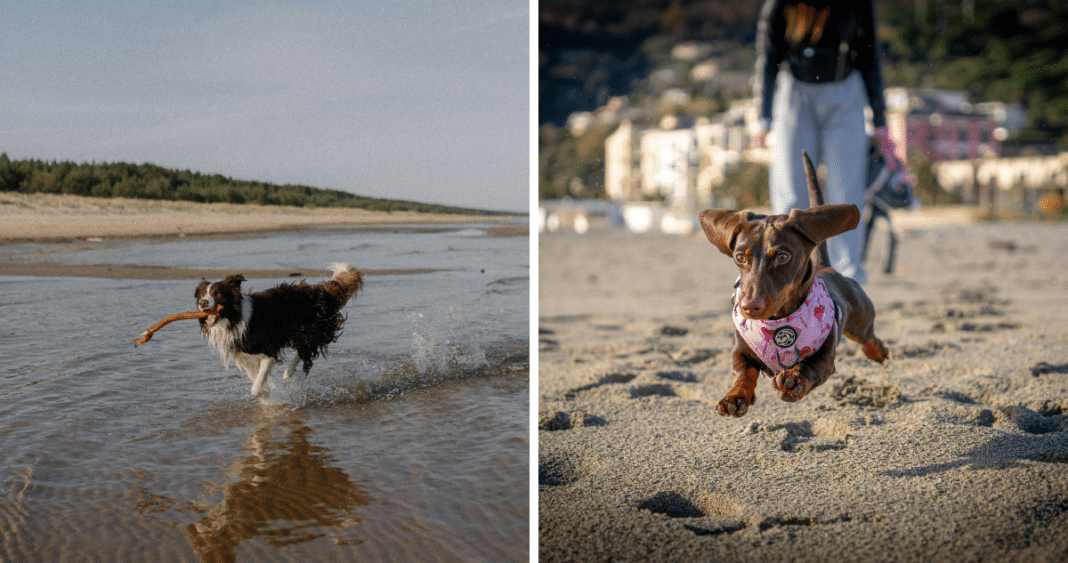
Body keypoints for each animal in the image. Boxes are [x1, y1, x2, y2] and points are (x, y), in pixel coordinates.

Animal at [198, 264, 365, 397]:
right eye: (201, 294)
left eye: (217, 293)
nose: (202, 303)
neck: (234, 319)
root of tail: (323, 294)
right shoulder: (244, 356)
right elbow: (256, 377)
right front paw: (268, 390)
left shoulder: (269, 350)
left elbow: (256, 386)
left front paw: (265, 394)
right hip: (293, 334)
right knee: (301, 352)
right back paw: (288, 372)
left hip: (311, 332)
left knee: (308, 360)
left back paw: (295, 386)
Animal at [700, 151, 884, 416]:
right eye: (740, 257)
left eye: (782, 256)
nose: (749, 307)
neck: (779, 322)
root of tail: (828, 267)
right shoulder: (740, 352)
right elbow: (742, 373)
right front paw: (735, 397)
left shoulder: (825, 360)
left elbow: (810, 368)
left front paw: (794, 380)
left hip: (860, 321)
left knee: (870, 338)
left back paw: (879, 352)